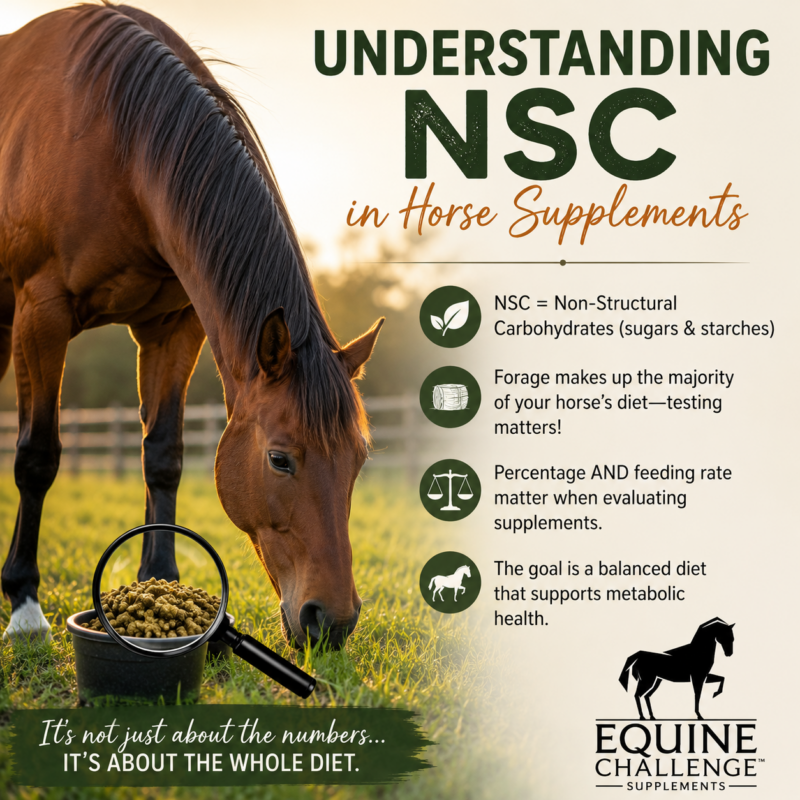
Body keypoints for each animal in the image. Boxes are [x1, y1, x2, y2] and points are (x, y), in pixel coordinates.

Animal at [0, 3, 383, 649]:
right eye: (280, 459)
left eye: (359, 458)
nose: (331, 621)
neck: (115, 140)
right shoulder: (42, 312)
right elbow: (37, 456)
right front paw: (25, 607)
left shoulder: (173, 327)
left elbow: (164, 456)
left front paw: (163, 581)